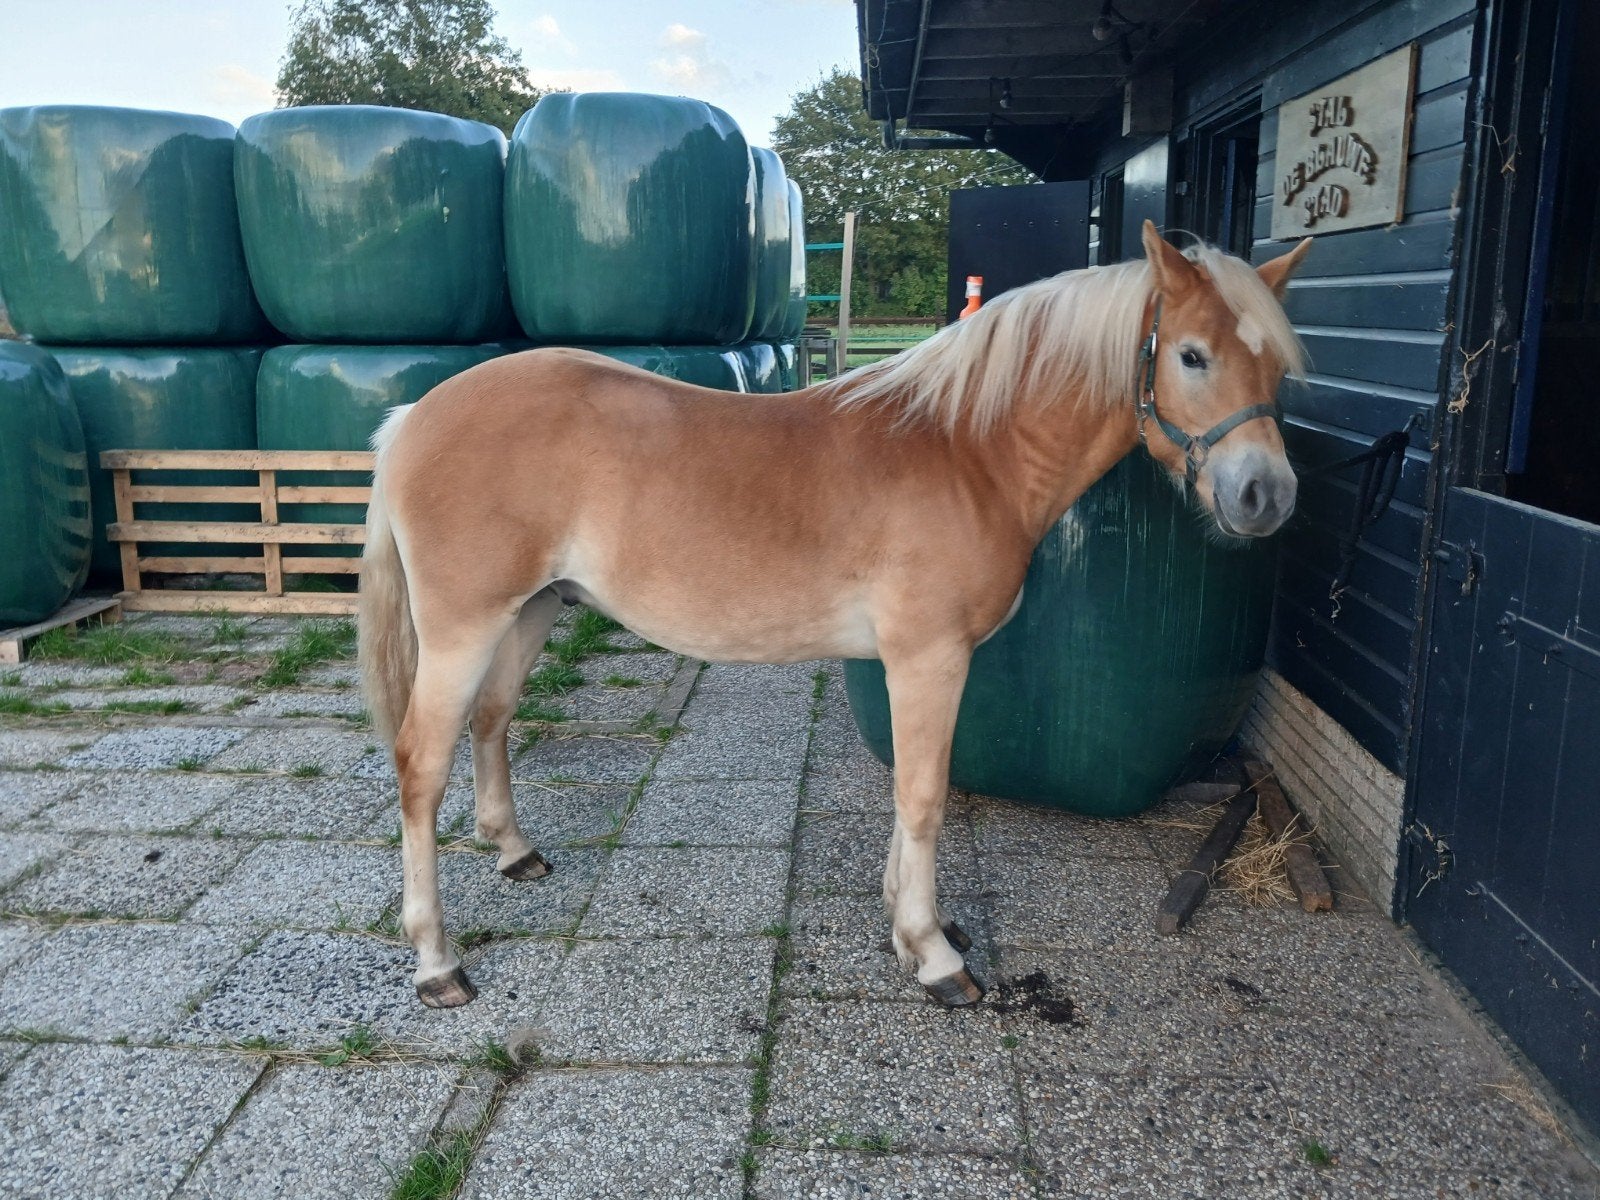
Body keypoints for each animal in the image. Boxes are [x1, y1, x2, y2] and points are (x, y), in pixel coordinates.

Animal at [359, 220, 1312, 1009]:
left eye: (1277, 366)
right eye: (1191, 355)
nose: (1266, 497)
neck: (967, 450)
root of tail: (413, 418)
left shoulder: (917, 663)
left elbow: (909, 793)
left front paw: (910, 925)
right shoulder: (929, 656)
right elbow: (924, 794)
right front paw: (934, 955)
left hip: (530, 612)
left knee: (491, 720)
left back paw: (515, 852)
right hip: (463, 628)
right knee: (420, 766)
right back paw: (437, 962)